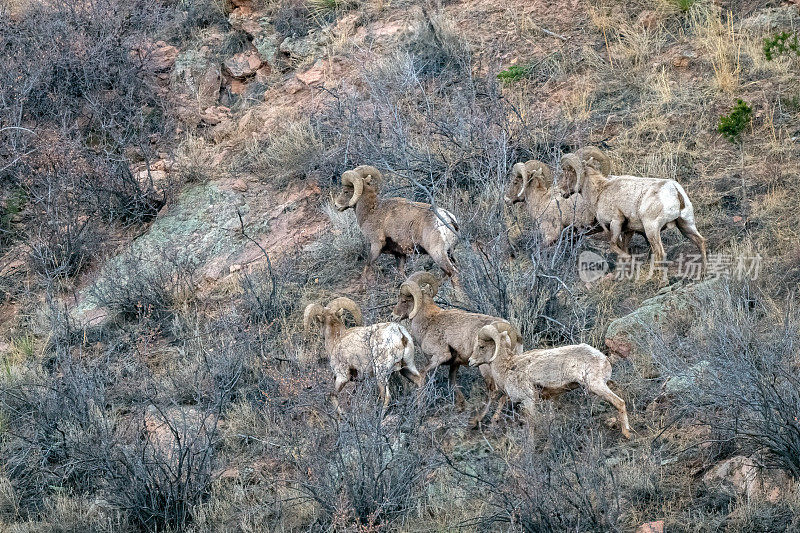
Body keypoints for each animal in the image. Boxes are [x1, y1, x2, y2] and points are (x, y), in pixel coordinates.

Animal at [332, 165, 460, 282]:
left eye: (346, 191)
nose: (336, 205)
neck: (372, 211)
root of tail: (448, 218)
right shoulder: (399, 254)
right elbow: (401, 273)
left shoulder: (376, 245)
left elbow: (367, 266)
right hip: (450, 253)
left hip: (437, 254)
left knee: (452, 273)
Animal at [390, 270, 524, 416]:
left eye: (404, 300)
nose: (393, 315)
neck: (428, 322)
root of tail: (513, 334)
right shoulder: (454, 364)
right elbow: (452, 383)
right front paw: (461, 406)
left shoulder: (440, 357)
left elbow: (422, 375)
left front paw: (420, 407)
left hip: (486, 368)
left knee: (494, 391)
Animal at [468, 334, 632, 438]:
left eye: (481, 347)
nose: (470, 361)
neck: (508, 367)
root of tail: (603, 358)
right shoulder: (549, 399)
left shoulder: (528, 401)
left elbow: (532, 425)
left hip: (596, 386)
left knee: (619, 402)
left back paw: (626, 433)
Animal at [556, 148, 708, 276]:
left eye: (567, 173)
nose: (562, 192)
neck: (600, 192)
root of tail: (674, 190)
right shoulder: (628, 230)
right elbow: (623, 247)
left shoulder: (615, 222)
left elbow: (614, 246)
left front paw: (631, 261)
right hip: (686, 224)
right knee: (700, 241)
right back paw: (703, 273)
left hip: (652, 228)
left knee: (660, 253)